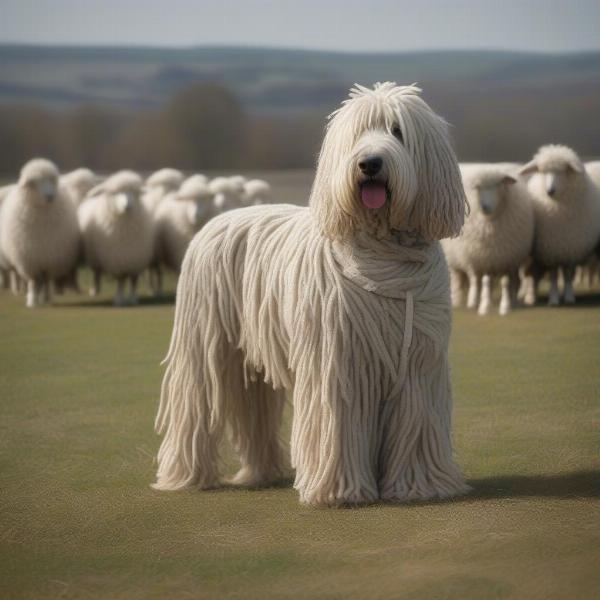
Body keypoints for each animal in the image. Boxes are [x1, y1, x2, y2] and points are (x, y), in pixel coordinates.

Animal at [0, 158, 79, 308]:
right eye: (34, 182)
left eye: (52, 180)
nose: (50, 196)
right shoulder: (30, 259)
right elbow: (33, 282)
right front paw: (32, 301)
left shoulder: (49, 257)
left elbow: (45, 280)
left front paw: (43, 298)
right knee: (29, 278)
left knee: (45, 280)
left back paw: (45, 297)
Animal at [78, 171, 154, 308]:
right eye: (115, 193)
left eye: (134, 192)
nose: (127, 206)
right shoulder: (117, 260)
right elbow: (120, 282)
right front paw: (119, 300)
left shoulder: (136, 259)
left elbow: (133, 281)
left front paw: (133, 299)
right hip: (93, 256)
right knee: (96, 273)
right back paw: (95, 290)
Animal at [438, 162, 532, 316]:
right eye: (477, 187)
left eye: (499, 184)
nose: (485, 207)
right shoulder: (486, 257)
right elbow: (485, 281)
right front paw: (485, 306)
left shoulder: (507, 259)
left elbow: (505, 282)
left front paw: (506, 306)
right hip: (461, 256)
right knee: (467, 279)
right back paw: (465, 300)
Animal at [516, 145, 600, 304]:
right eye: (542, 171)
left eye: (563, 170)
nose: (550, 191)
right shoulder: (551, 250)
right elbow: (554, 276)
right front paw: (554, 298)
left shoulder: (571, 248)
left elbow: (567, 275)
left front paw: (569, 296)